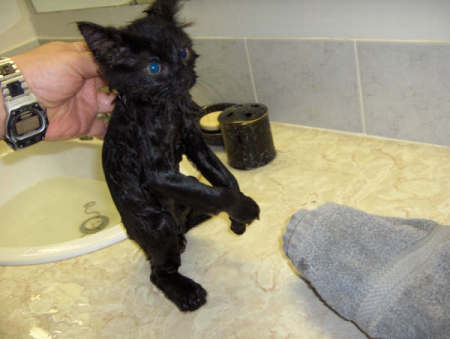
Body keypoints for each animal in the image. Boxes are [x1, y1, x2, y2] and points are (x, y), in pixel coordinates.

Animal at [79, 0, 258, 314]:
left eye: (183, 51)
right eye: (154, 67)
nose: (184, 76)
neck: (166, 108)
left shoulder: (195, 145)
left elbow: (225, 181)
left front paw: (238, 217)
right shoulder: (158, 175)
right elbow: (219, 193)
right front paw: (246, 209)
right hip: (158, 223)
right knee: (158, 272)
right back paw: (186, 292)